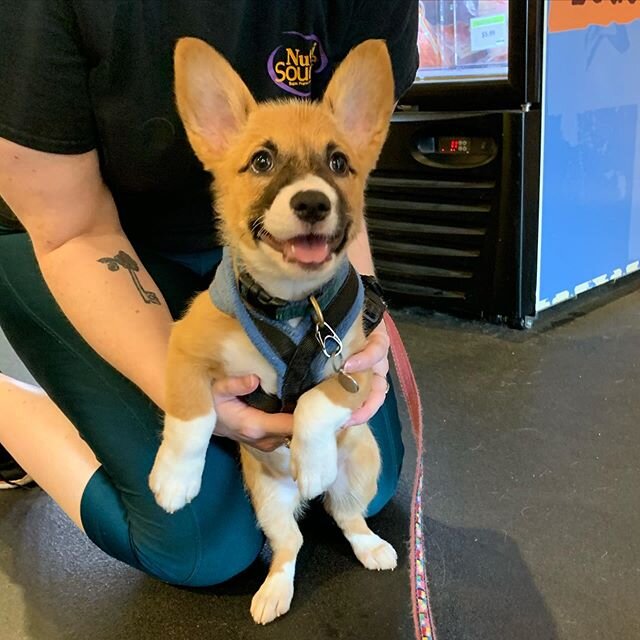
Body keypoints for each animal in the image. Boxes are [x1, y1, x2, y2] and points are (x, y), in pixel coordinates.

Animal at [151, 36, 398, 624]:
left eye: (339, 162)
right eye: (261, 161)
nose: (312, 202)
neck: (290, 306)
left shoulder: (353, 370)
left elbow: (311, 403)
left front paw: (312, 459)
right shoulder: (186, 350)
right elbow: (191, 416)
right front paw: (175, 479)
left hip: (362, 469)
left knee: (347, 519)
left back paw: (367, 541)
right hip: (267, 502)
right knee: (290, 546)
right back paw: (273, 591)